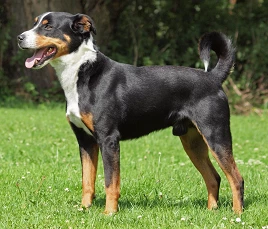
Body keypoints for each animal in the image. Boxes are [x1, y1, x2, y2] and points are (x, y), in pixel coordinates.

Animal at [17, 11, 244, 215]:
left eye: (48, 26)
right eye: (36, 23)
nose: (19, 37)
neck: (82, 72)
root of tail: (213, 78)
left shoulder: (108, 139)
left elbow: (111, 182)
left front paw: (109, 213)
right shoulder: (85, 141)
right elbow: (87, 181)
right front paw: (84, 209)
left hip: (216, 136)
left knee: (236, 178)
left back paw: (237, 214)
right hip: (193, 142)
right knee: (214, 177)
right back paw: (211, 211)